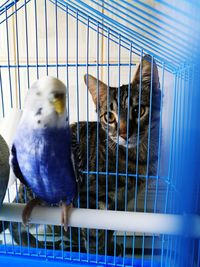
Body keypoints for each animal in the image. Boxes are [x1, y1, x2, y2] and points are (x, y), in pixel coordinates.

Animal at [6, 54, 161, 255]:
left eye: (138, 110)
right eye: (109, 117)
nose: (124, 133)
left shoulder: (120, 203)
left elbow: (109, 229)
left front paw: (110, 247)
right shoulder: (92, 197)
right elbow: (95, 234)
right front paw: (100, 254)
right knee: (15, 223)